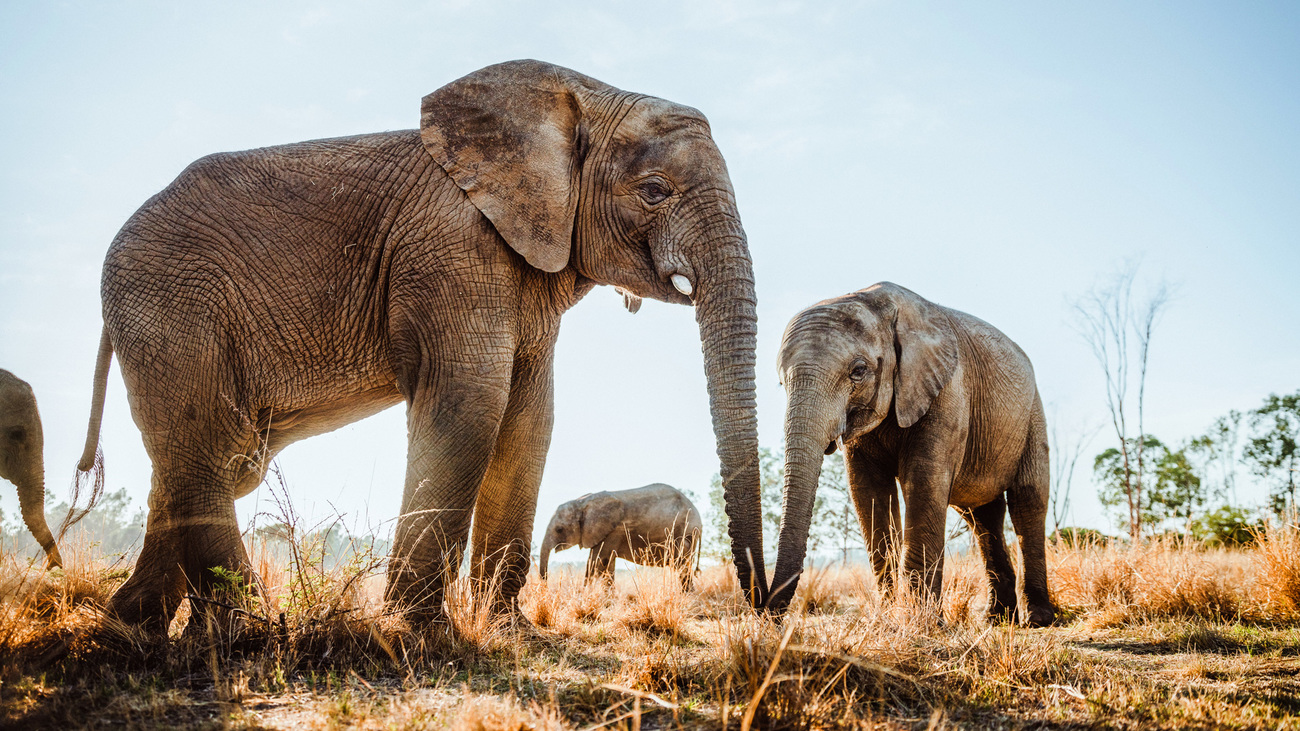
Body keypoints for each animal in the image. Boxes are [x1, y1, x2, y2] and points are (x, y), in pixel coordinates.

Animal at [535, 483, 702, 585]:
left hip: (684, 534)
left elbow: (596, 561)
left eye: (559, 529)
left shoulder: (613, 531)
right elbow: (607, 564)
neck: (582, 502)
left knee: (682, 566)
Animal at [769, 282, 1055, 624]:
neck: (874, 301)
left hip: (1032, 414)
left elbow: (923, 480)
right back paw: (997, 618)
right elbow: (868, 491)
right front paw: (889, 619)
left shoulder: (947, 390)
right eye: (781, 382)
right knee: (981, 515)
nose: (767, 612)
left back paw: (1038, 619)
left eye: (858, 371)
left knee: (1028, 501)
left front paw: (924, 623)